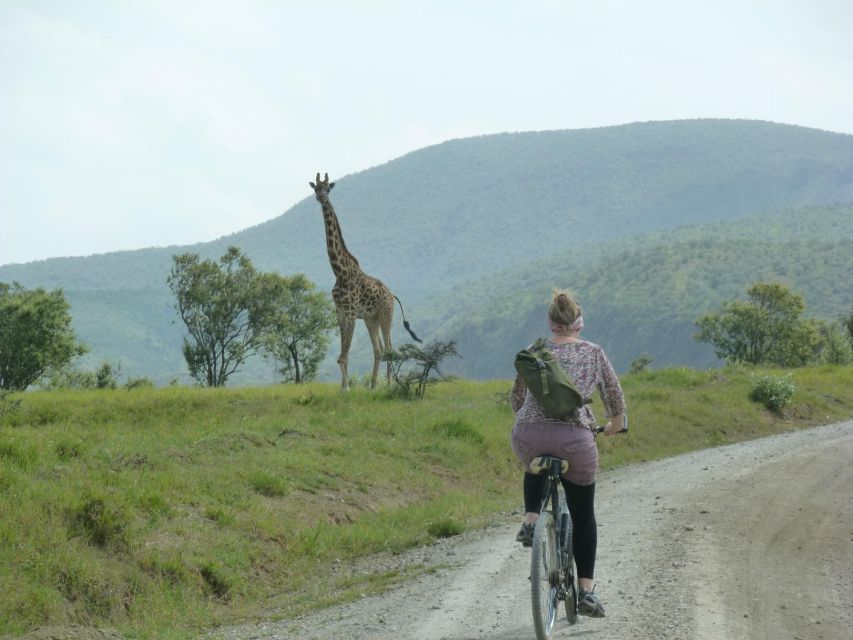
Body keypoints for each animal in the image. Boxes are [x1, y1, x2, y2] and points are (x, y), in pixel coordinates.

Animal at [310, 171, 422, 390]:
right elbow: (342, 355)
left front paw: (346, 388)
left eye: (327, 188)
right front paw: (343, 387)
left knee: (389, 347)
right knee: (379, 349)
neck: (338, 270)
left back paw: (389, 385)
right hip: (372, 318)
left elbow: (344, 355)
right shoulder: (340, 311)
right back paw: (372, 385)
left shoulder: (351, 311)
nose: (321, 197)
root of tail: (392, 295)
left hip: (386, 314)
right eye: (315, 188)